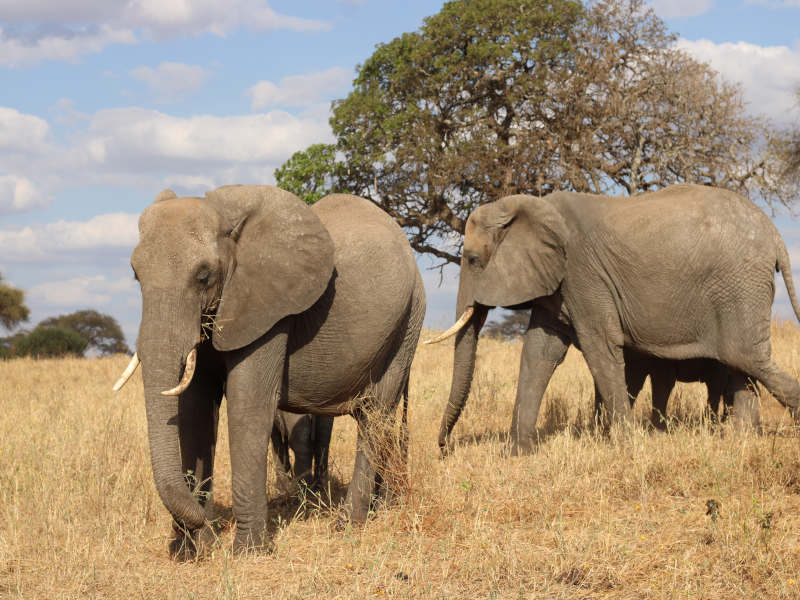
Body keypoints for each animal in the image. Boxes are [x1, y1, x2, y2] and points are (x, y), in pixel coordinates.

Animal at [114, 185, 424, 556]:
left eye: (204, 276)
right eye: (135, 274)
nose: (202, 522)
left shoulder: (269, 309)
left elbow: (248, 407)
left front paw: (246, 552)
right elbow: (196, 412)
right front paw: (195, 551)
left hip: (409, 318)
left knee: (375, 414)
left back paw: (348, 524)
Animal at [432, 183, 800, 454]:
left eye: (472, 259)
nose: (443, 447)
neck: (529, 206)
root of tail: (775, 235)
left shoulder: (583, 274)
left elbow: (600, 347)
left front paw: (626, 446)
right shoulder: (559, 283)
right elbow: (540, 352)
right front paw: (516, 454)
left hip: (740, 284)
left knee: (744, 356)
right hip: (740, 290)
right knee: (741, 362)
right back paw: (742, 439)